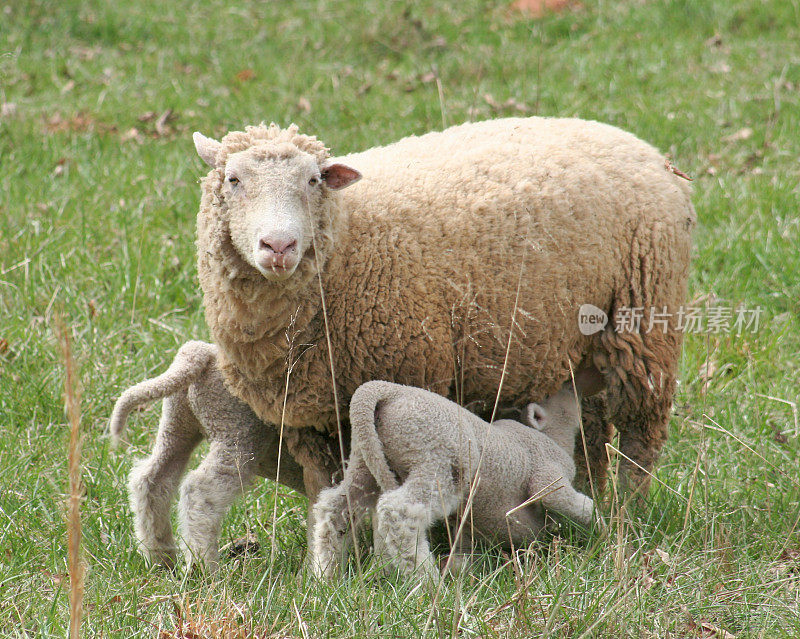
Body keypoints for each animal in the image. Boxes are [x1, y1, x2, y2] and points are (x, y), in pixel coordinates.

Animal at [111, 340, 310, 568]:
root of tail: (203, 353)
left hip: (177, 422)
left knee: (151, 480)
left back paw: (160, 558)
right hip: (236, 431)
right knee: (200, 491)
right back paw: (203, 566)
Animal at [192, 115, 692, 508]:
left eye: (313, 181)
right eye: (233, 180)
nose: (279, 246)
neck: (351, 234)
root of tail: (644, 148)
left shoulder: (406, 373)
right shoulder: (307, 414)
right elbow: (322, 488)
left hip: (644, 317)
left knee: (640, 433)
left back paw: (627, 511)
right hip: (582, 343)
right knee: (592, 427)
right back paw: (592, 494)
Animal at [310, 382, 592, 584]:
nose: (572, 386)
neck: (555, 439)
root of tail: (381, 390)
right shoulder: (549, 472)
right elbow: (569, 503)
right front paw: (597, 527)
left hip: (365, 458)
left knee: (335, 508)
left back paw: (326, 575)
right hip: (436, 459)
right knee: (400, 511)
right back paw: (426, 582)